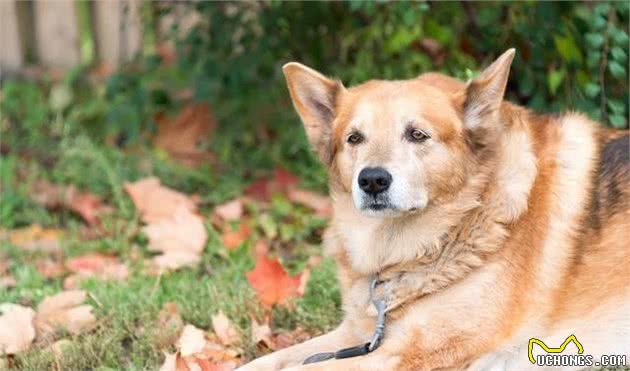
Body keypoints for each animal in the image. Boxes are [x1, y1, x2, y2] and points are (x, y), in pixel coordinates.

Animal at [238, 48, 630, 370]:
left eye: (417, 134)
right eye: (354, 138)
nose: (372, 181)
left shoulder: (407, 352)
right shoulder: (354, 334)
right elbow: (264, 362)